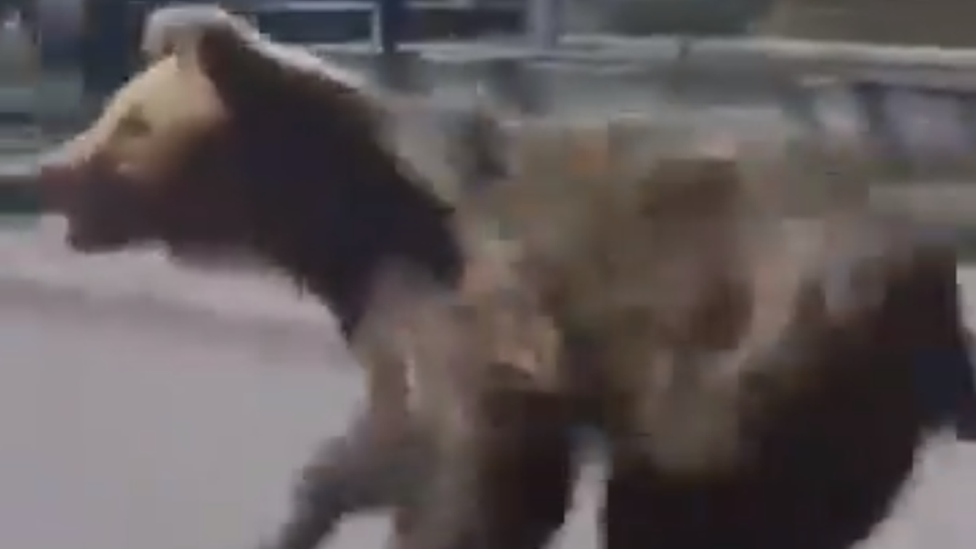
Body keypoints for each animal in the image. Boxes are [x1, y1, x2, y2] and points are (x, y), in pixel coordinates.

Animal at [30, 7, 976, 548]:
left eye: (130, 123)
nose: (46, 171)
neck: (336, 218)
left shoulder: (467, 296)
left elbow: (479, 464)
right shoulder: (385, 302)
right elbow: (390, 435)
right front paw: (308, 508)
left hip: (760, 353)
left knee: (684, 505)